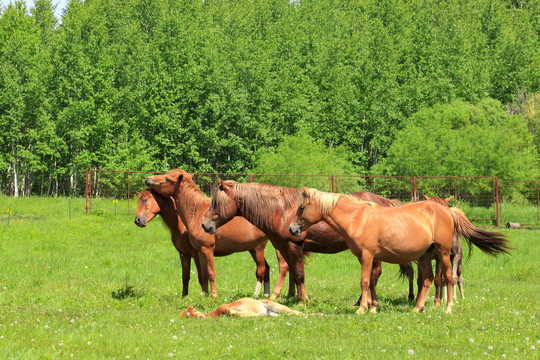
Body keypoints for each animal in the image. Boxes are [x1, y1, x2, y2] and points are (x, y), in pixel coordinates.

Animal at [143, 169, 278, 298]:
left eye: (167, 178)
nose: (148, 179)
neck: (197, 213)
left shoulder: (207, 249)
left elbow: (211, 273)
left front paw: (214, 296)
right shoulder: (199, 251)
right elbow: (203, 275)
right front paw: (205, 296)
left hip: (259, 248)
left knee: (263, 269)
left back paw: (258, 295)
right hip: (254, 248)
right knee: (268, 267)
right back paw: (266, 294)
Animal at [200, 180, 412, 304]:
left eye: (215, 202)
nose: (204, 225)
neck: (281, 210)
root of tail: (386, 201)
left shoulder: (295, 246)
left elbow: (299, 274)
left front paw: (304, 301)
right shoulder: (284, 248)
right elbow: (293, 272)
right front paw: (295, 297)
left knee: (375, 273)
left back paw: (362, 301)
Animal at [288, 187, 512, 314]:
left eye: (301, 208)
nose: (292, 229)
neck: (357, 218)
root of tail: (448, 211)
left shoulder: (367, 256)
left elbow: (365, 281)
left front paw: (362, 309)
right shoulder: (366, 257)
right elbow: (372, 282)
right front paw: (373, 307)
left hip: (444, 253)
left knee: (448, 278)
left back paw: (448, 307)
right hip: (425, 256)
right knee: (427, 280)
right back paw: (417, 308)